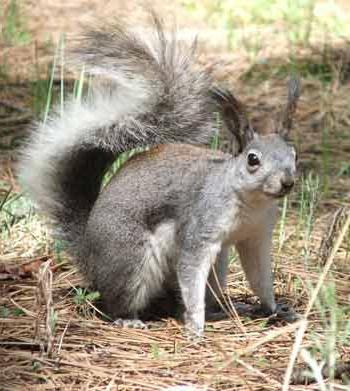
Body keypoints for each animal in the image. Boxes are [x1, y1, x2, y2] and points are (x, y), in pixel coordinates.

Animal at [17, 15, 300, 336]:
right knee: (118, 302)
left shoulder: (257, 236)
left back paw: (226, 309)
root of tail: (89, 255)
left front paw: (274, 308)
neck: (251, 203)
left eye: (294, 155)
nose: (287, 182)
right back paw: (129, 318)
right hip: (132, 259)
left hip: (218, 265)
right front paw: (195, 327)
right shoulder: (200, 230)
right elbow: (191, 276)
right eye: (253, 160)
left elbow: (260, 276)